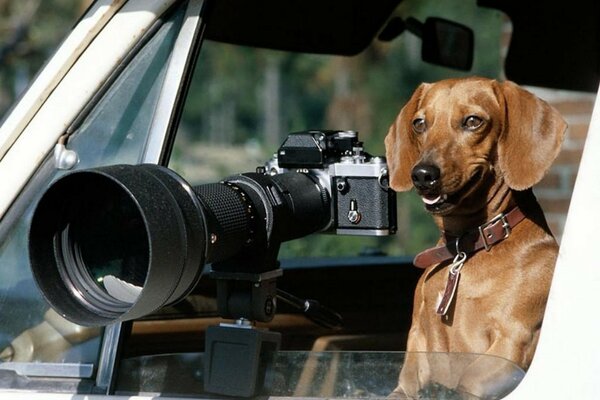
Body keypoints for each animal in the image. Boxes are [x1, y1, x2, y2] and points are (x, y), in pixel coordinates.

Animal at [384, 76, 568, 398]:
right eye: (419, 123)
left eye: (473, 121)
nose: (422, 174)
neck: (466, 250)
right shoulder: (417, 342)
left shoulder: (513, 340)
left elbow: (470, 379)